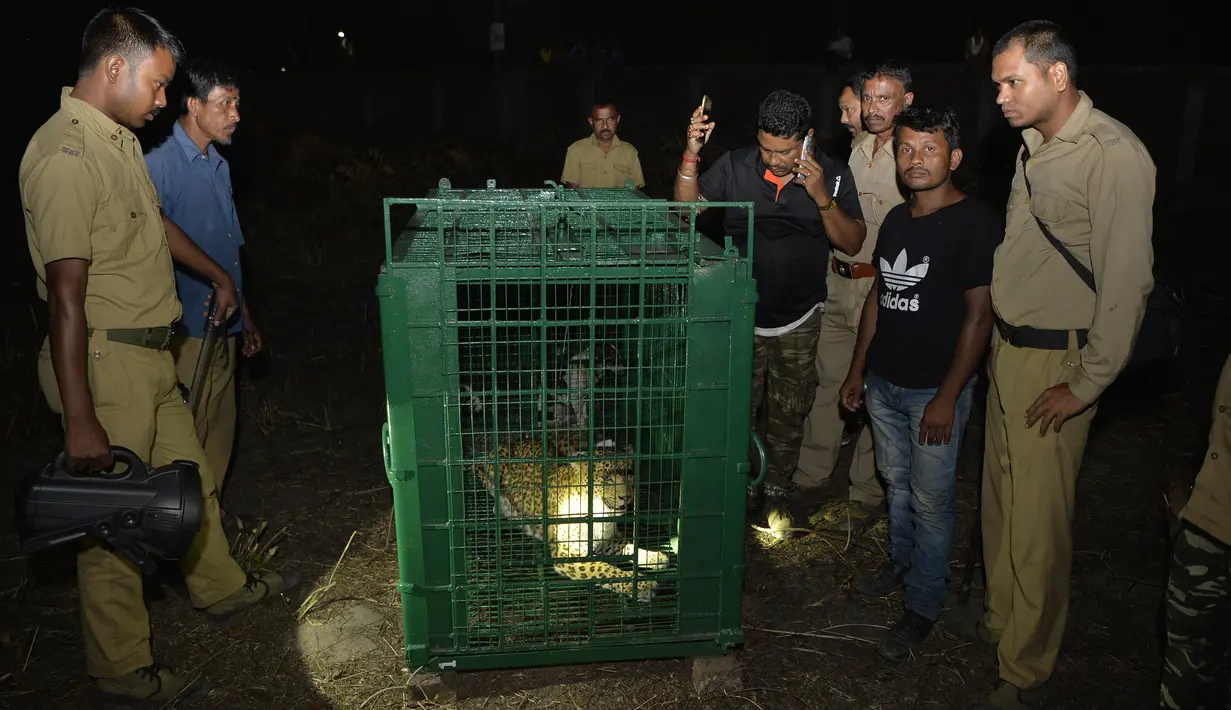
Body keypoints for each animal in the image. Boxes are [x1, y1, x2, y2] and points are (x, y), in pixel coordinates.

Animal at [470, 428, 669, 600]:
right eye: (606, 478)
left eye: (629, 474)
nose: (626, 497)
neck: (600, 512)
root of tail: (519, 440)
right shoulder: (568, 553)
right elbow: (605, 569)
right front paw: (642, 585)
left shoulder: (607, 539)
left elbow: (629, 545)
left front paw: (654, 557)